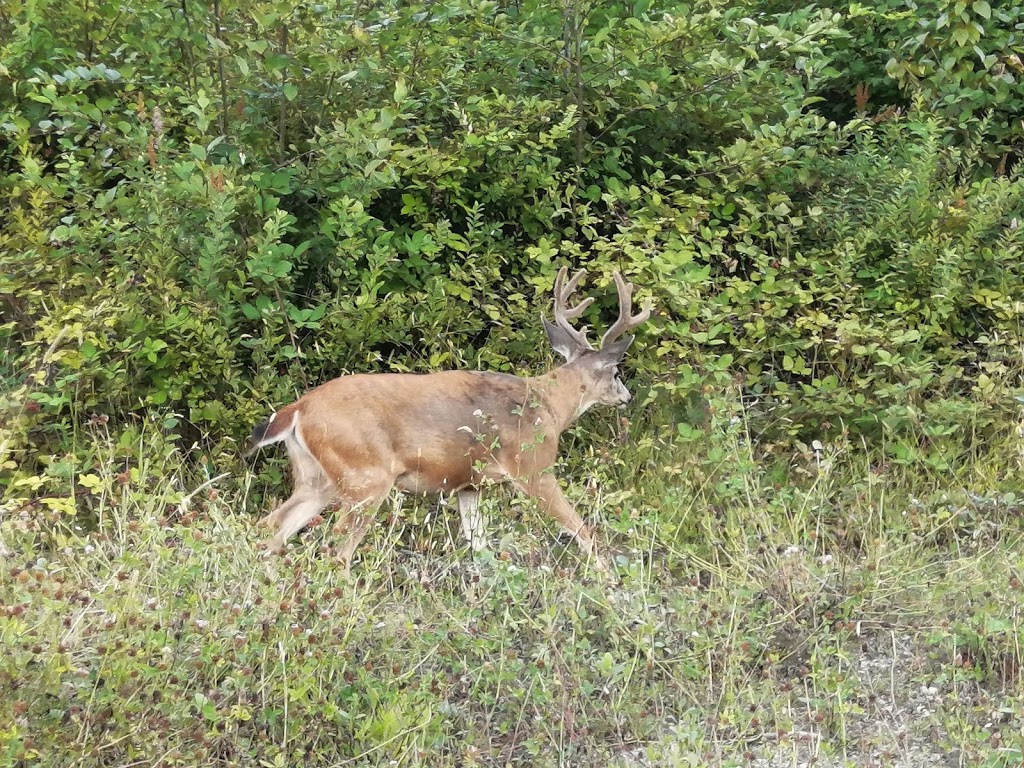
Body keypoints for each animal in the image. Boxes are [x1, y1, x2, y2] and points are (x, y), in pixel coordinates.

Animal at [246, 268, 647, 573]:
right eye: (615, 372)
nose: (626, 396)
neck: (548, 405)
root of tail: (298, 408)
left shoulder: (468, 485)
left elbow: (480, 547)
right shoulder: (533, 467)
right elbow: (583, 531)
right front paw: (606, 578)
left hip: (317, 476)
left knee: (270, 528)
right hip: (365, 476)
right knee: (334, 549)